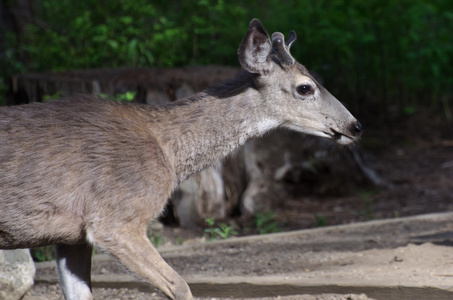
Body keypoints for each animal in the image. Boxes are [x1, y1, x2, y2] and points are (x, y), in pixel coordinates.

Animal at [0, 19, 360, 300]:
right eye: (305, 88)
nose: (354, 126)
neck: (168, 154)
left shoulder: (71, 236)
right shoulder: (115, 219)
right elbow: (180, 286)